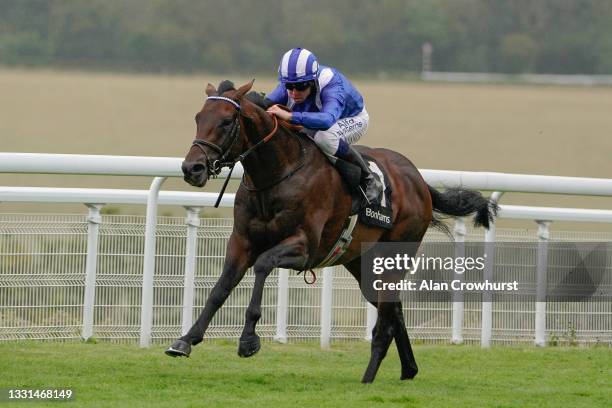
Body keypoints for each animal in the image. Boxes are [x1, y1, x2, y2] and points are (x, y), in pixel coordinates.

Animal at [166, 79, 498, 382]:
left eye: (225, 121)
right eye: (198, 117)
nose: (192, 168)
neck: (278, 173)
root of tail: (418, 181)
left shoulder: (304, 247)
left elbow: (262, 265)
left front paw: (248, 340)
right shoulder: (241, 241)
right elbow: (220, 288)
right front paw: (185, 340)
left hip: (395, 256)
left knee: (386, 321)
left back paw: (368, 379)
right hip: (362, 264)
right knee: (394, 311)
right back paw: (408, 370)